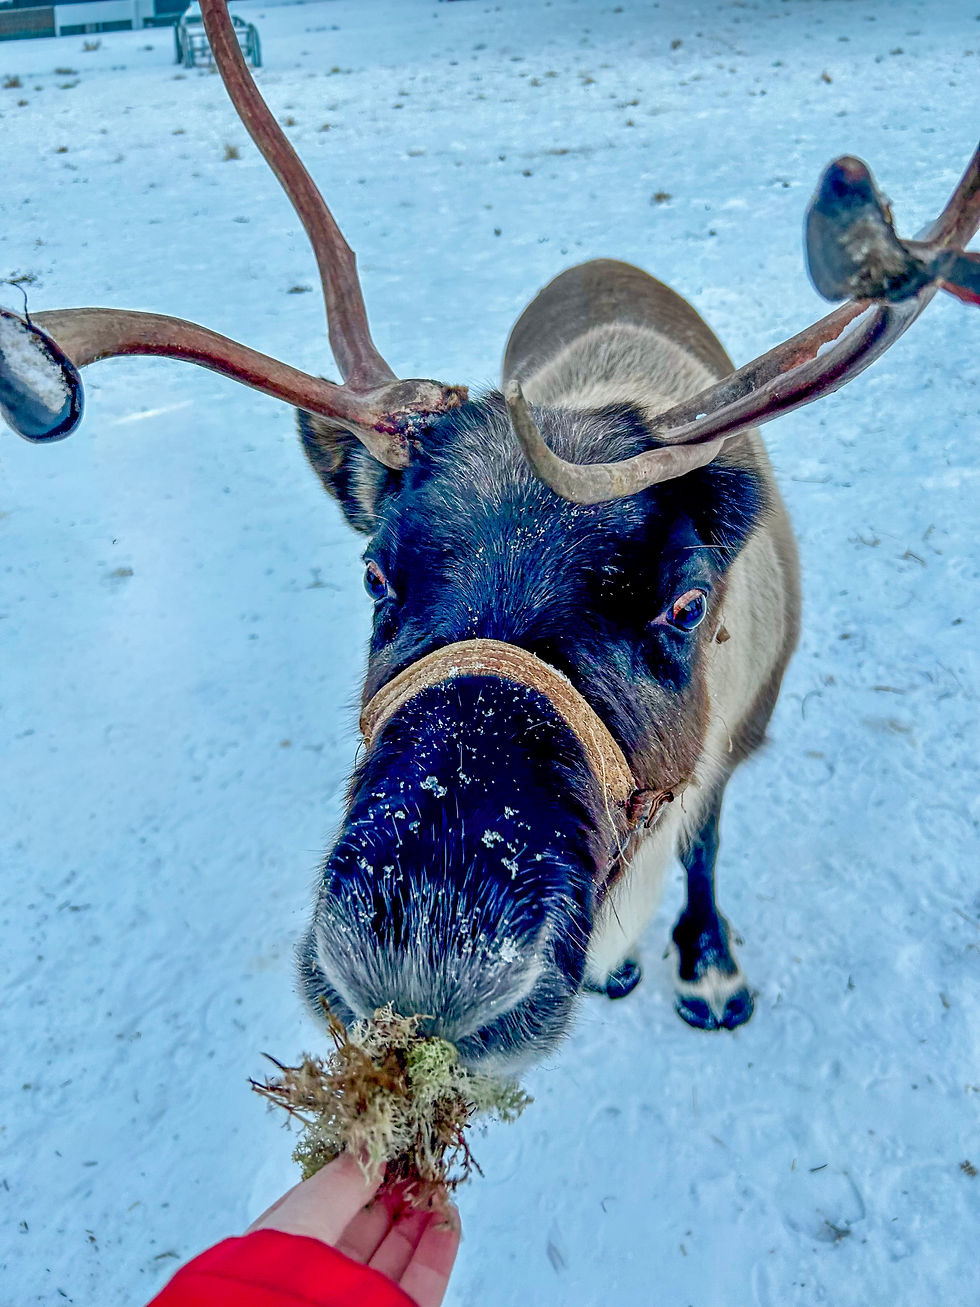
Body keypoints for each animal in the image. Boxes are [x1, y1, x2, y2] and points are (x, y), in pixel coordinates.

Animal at [1, 1, 977, 1070]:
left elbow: (708, 842)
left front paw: (710, 971)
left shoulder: (739, 736)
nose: (417, 956)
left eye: (686, 601)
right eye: (375, 575)